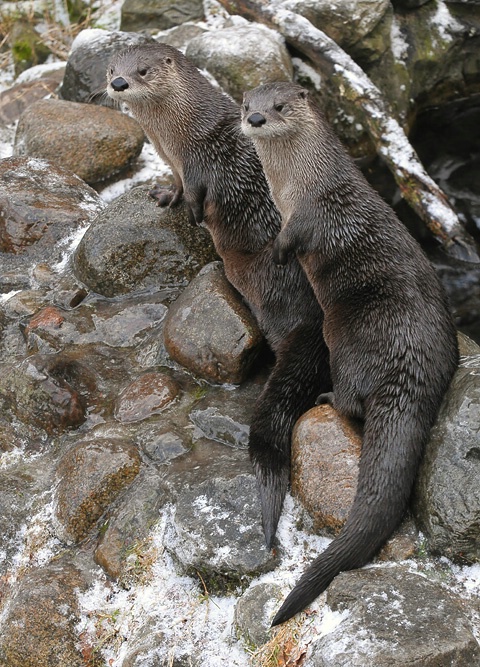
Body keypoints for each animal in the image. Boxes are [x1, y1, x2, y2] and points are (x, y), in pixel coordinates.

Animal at [105, 44, 332, 552]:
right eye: (111, 68)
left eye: (142, 70)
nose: (118, 84)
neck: (179, 135)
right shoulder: (174, 160)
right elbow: (175, 185)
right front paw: (163, 193)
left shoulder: (197, 163)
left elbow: (197, 193)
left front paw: (189, 208)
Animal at [242, 82, 460, 628]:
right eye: (246, 103)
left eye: (279, 106)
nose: (254, 118)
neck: (299, 184)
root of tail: (410, 369)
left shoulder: (305, 218)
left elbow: (288, 244)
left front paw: (277, 252)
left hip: (344, 338)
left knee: (351, 402)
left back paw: (326, 397)